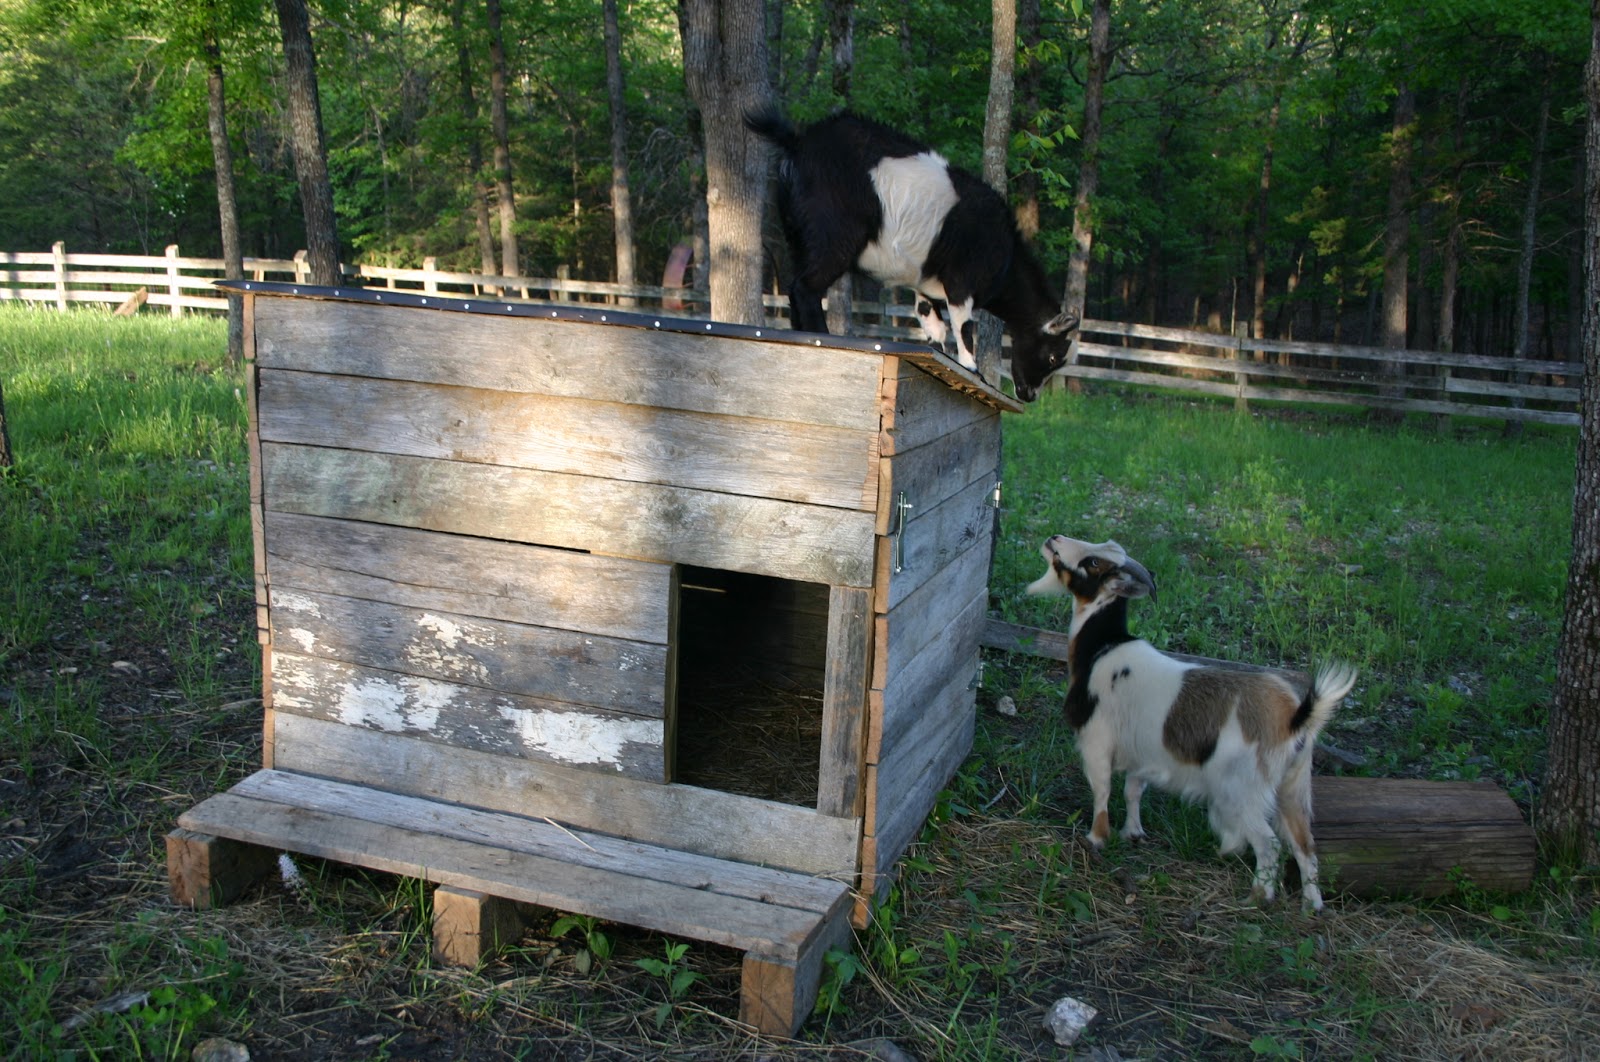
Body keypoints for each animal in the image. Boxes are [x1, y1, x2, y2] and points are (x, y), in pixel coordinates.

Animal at [745, 108, 1075, 398]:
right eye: (1052, 357)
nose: (1029, 395)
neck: (1005, 256)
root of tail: (798, 142)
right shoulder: (962, 282)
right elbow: (964, 328)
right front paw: (973, 370)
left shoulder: (925, 288)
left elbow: (935, 329)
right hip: (832, 238)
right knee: (806, 288)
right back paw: (820, 336)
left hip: (797, 237)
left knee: (796, 290)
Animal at [1030, 534, 1356, 908]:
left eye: (1094, 563)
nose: (1054, 539)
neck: (1102, 649)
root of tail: (1295, 718)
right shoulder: (1142, 754)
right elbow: (1132, 790)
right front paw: (1133, 833)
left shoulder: (1097, 742)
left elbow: (1102, 792)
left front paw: (1097, 838)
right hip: (1294, 786)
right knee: (1305, 845)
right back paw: (1311, 906)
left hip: (1242, 790)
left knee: (1269, 844)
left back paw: (1257, 897)